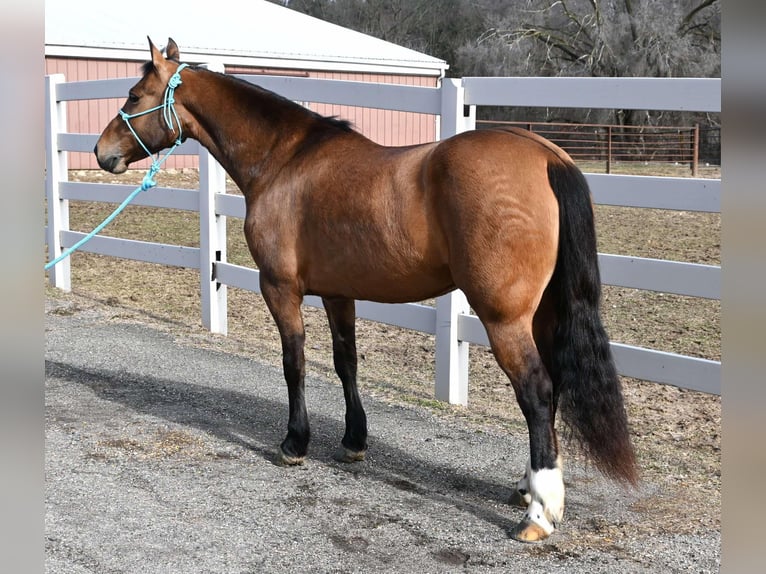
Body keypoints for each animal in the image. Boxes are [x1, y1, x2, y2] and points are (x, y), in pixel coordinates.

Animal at [95, 38, 637, 543]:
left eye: (135, 94)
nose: (103, 153)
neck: (284, 160)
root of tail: (547, 156)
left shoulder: (280, 288)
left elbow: (294, 362)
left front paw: (295, 443)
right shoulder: (339, 293)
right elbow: (345, 362)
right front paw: (354, 441)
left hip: (503, 318)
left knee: (537, 391)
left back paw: (538, 514)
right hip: (543, 313)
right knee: (554, 387)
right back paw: (527, 486)